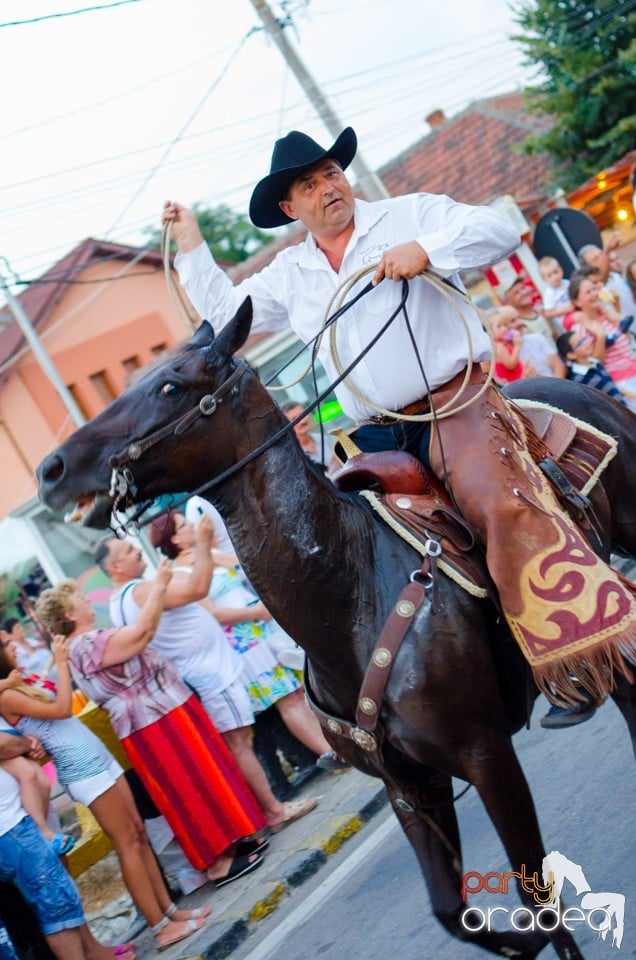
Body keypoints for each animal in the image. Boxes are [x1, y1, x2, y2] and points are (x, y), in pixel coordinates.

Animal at [37, 298, 632, 952]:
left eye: (170, 385)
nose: (52, 468)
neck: (351, 595)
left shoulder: (487, 755)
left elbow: (537, 898)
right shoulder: (407, 784)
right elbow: (451, 910)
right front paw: (511, 941)